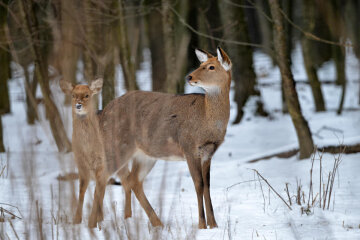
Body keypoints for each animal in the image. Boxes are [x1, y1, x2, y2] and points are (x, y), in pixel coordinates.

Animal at [59, 78, 106, 228]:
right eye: (73, 95)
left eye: (87, 95)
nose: (78, 105)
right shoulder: (80, 164)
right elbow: (82, 190)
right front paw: (76, 220)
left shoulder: (101, 164)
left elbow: (97, 192)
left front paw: (91, 222)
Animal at [100, 47, 232, 229]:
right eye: (201, 64)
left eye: (211, 67)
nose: (189, 77)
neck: (206, 120)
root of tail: (104, 111)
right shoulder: (189, 147)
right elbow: (198, 185)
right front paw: (201, 225)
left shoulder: (208, 153)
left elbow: (207, 186)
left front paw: (214, 225)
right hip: (117, 145)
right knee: (101, 175)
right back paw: (93, 222)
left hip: (145, 154)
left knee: (133, 180)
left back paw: (153, 221)